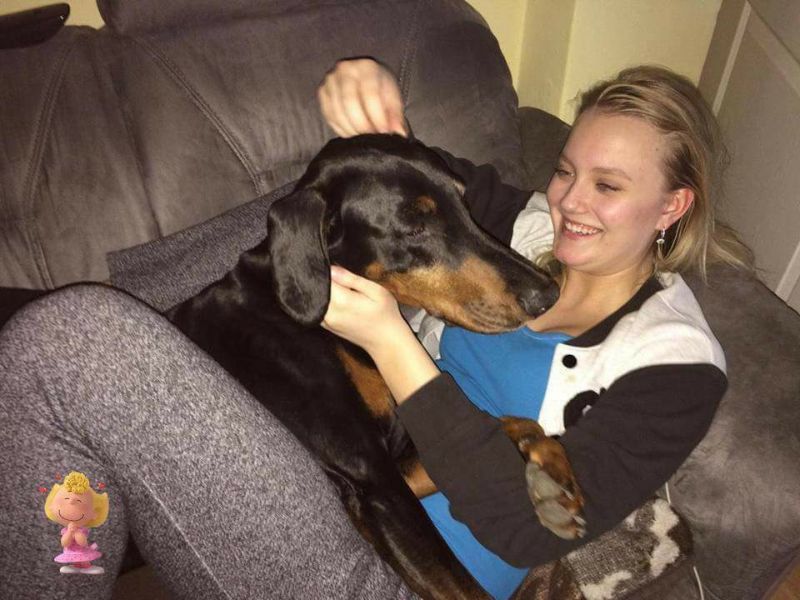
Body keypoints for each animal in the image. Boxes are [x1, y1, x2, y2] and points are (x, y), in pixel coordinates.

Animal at [167, 134, 584, 599]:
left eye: (464, 202)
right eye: (414, 227)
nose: (547, 294)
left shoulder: (391, 469)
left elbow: (516, 425)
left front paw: (551, 475)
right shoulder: (373, 480)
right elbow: (461, 587)